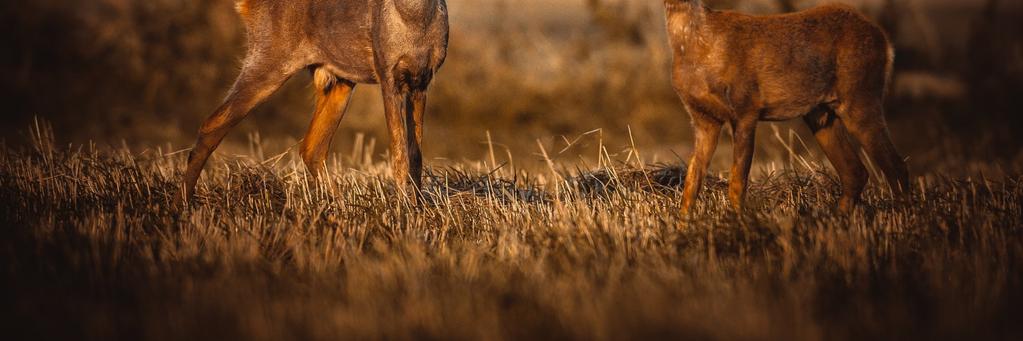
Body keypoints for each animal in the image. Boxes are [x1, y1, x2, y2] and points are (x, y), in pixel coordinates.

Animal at [174, 0, 448, 205]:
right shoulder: (387, 74)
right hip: (268, 58)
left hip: (338, 80)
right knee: (212, 123)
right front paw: (404, 212)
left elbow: (416, 155)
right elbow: (400, 154)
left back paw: (343, 208)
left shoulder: (422, 81)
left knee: (312, 147)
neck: (414, 22)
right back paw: (184, 205)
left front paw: (419, 209)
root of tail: (248, 5)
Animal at [662, 0, 912, 214]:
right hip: (821, 114)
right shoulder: (703, 119)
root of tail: (885, 41)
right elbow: (691, 182)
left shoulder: (746, 108)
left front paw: (740, 224)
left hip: (861, 96)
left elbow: (737, 183)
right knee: (855, 172)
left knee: (897, 167)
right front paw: (683, 230)